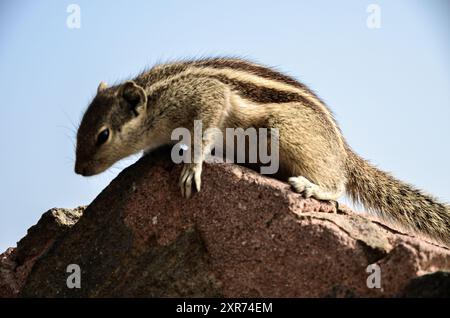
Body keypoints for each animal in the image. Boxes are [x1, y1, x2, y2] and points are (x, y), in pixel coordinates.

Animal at [74, 57, 450, 246]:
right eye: (80, 130)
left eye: (103, 135)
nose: (79, 170)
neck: (155, 97)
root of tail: (343, 150)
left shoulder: (207, 96)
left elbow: (205, 129)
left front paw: (192, 167)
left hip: (288, 134)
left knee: (337, 185)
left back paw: (312, 187)